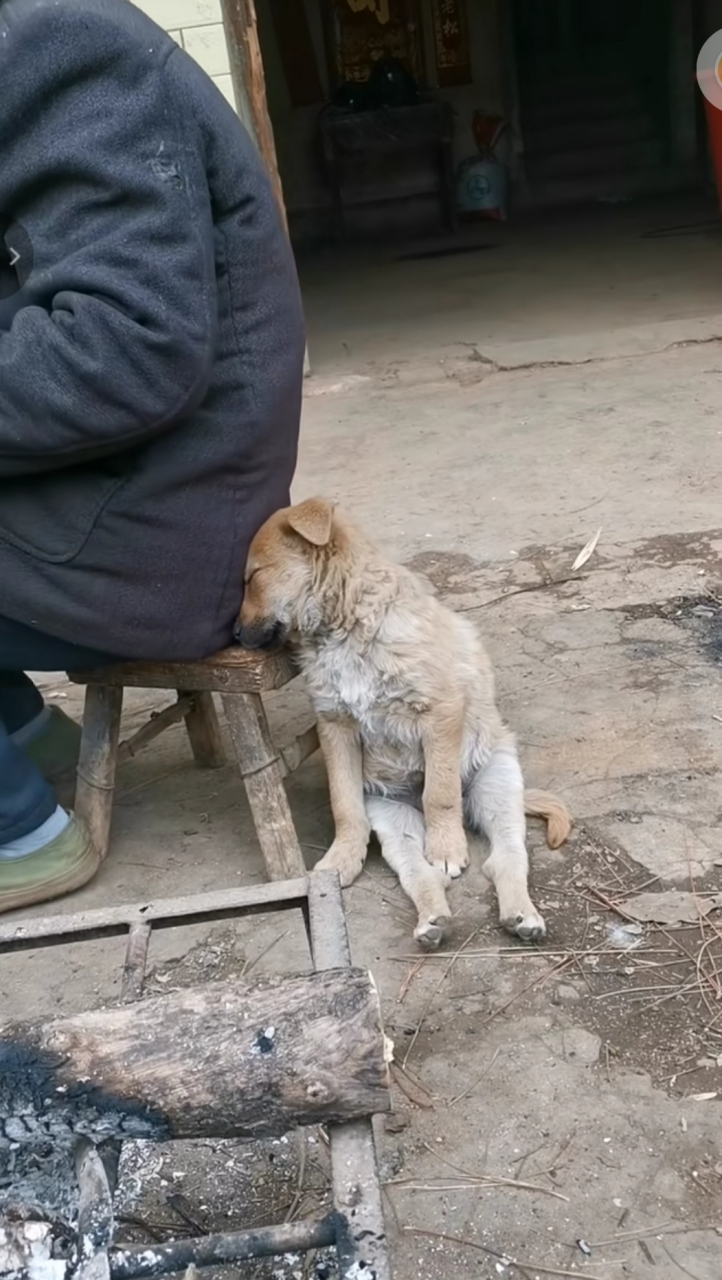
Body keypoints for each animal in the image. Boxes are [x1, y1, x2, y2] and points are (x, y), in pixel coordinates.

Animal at [235, 499, 570, 952]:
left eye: (253, 577)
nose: (235, 634)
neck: (349, 627)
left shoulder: (440, 711)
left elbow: (440, 794)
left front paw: (446, 846)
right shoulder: (335, 725)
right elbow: (344, 804)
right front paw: (342, 857)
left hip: (498, 786)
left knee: (505, 858)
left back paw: (521, 915)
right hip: (394, 820)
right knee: (420, 874)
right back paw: (433, 922)